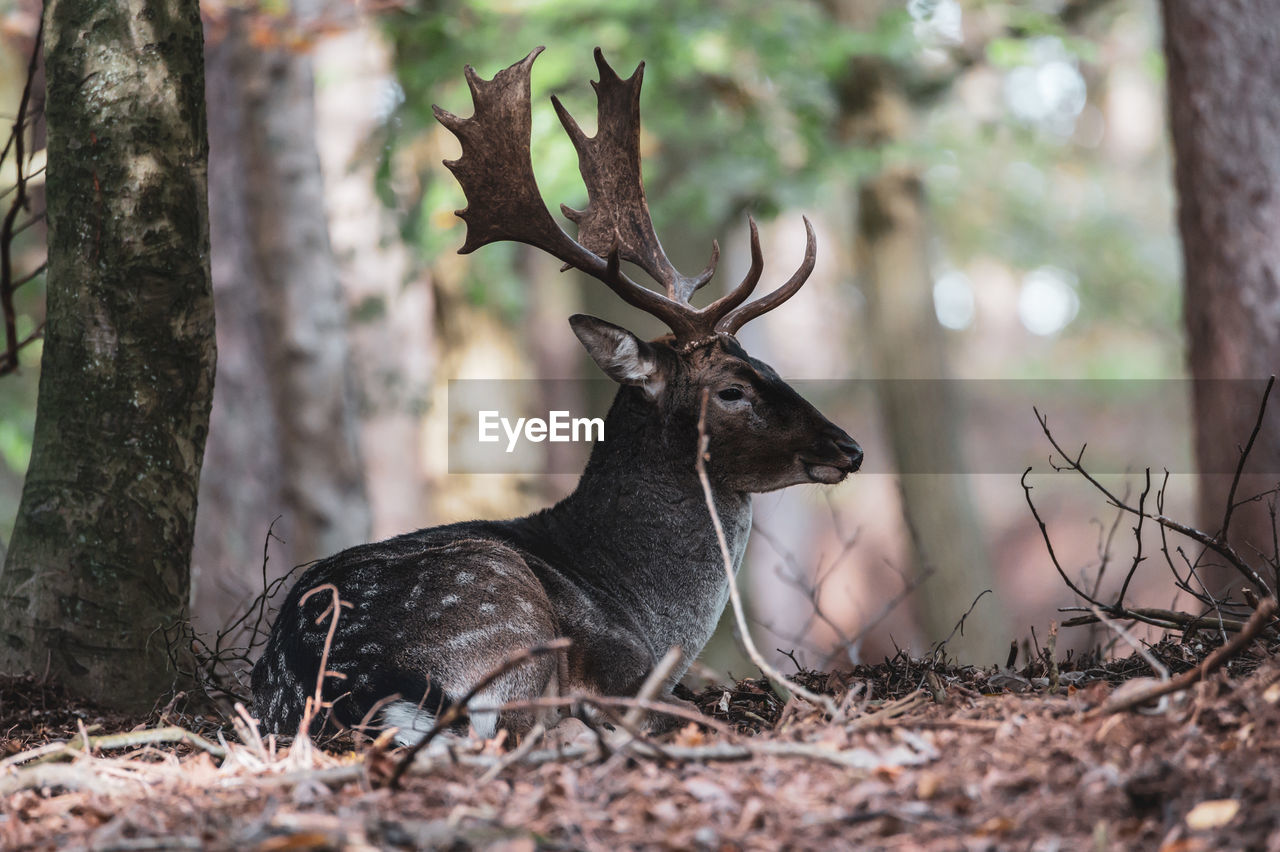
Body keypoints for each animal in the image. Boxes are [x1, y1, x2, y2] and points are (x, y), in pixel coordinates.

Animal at [252, 46, 860, 741]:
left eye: (767, 365)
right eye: (732, 389)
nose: (849, 448)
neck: (652, 615)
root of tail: (353, 687)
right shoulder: (625, 673)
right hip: (501, 606)